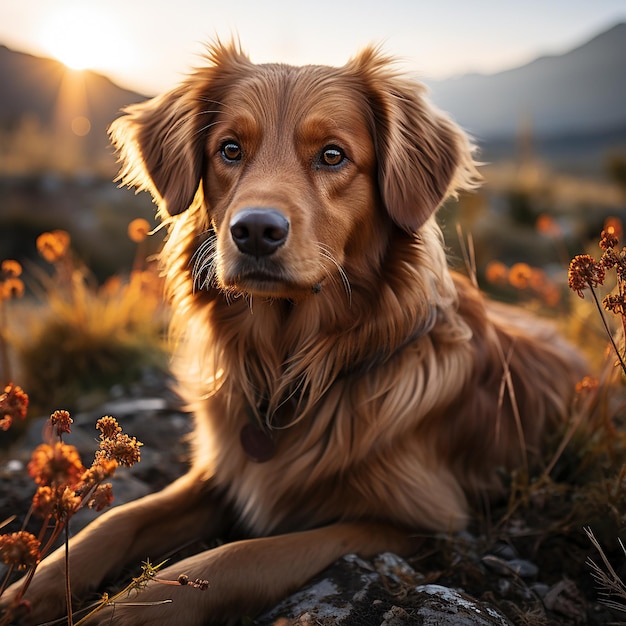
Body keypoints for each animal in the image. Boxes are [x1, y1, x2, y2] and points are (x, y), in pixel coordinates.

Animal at [2, 41, 584, 620]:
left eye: (332, 155)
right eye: (230, 149)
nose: (255, 230)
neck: (292, 369)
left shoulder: (413, 522)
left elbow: (239, 556)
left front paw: (128, 608)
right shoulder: (221, 472)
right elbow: (119, 519)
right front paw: (28, 591)